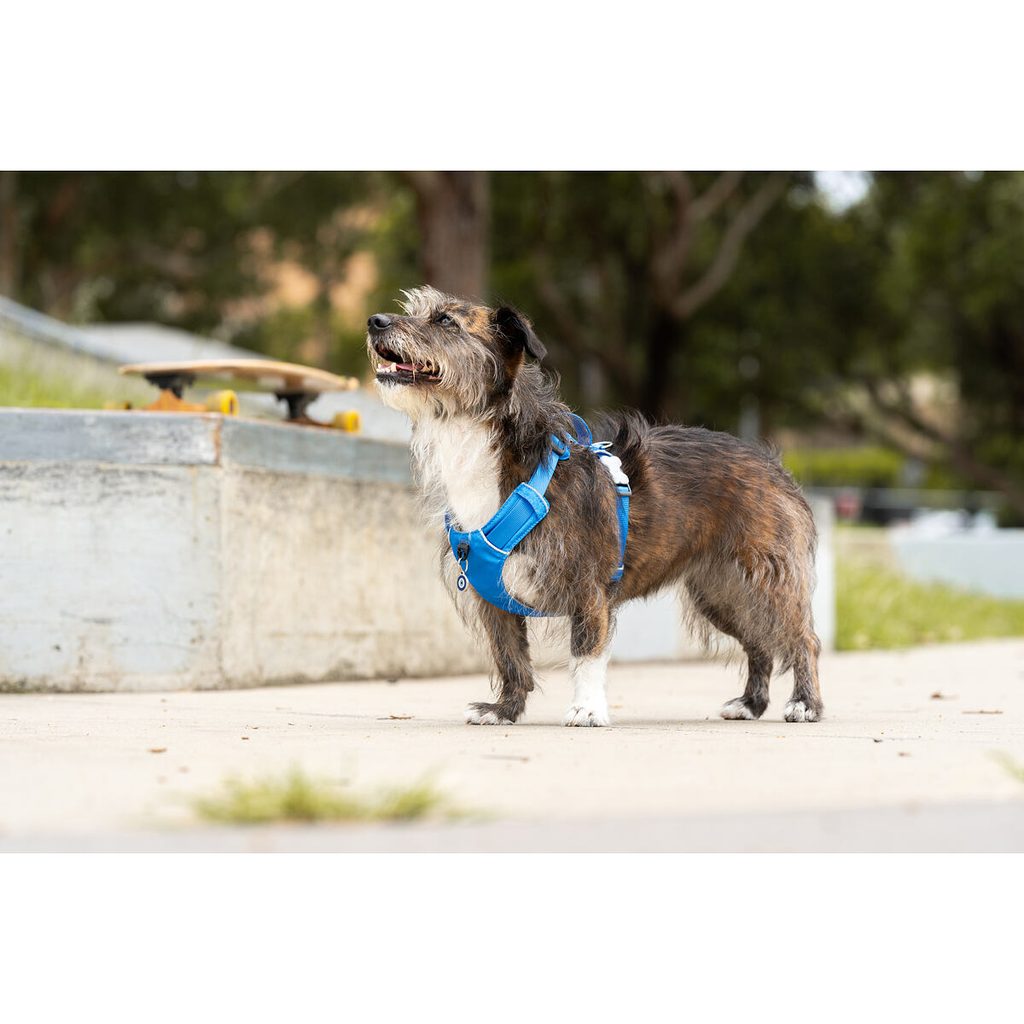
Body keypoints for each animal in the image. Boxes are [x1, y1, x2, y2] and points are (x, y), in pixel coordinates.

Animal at [367, 286, 822, 727]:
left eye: (445, 321)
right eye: (415, 309)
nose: (375, 321)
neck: (486, 444)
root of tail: (773, 463)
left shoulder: (588, 586)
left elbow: (585, 652)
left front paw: (586, 709)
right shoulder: (492, 596)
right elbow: (509, 656)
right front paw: (504, 710)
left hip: (765, 581)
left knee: (802, 638)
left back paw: (805, 704)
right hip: (722, 593)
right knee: (760, 642)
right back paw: (751, 704)